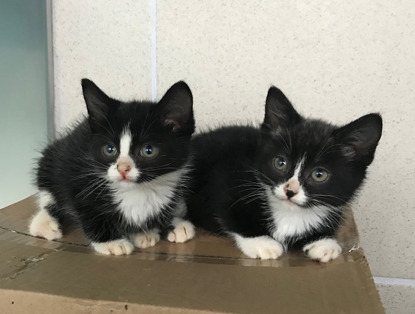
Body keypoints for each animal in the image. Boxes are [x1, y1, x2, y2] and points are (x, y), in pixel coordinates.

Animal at [30, 79, 197, 255]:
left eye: (148, 150)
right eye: (109, 149)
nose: (122, 168)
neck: (139, 190)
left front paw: (168, 223)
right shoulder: (77, 178)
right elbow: (89, 211)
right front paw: (111, 242)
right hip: (54, 157)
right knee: (48, 194)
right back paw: (43, 224)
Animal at [188, 86, 384, 262]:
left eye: (319, 174)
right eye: (280, 163)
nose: (290, 191)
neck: (290, 214)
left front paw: (324, 243)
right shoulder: (223, 181)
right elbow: (228, 213)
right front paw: (262, 243)